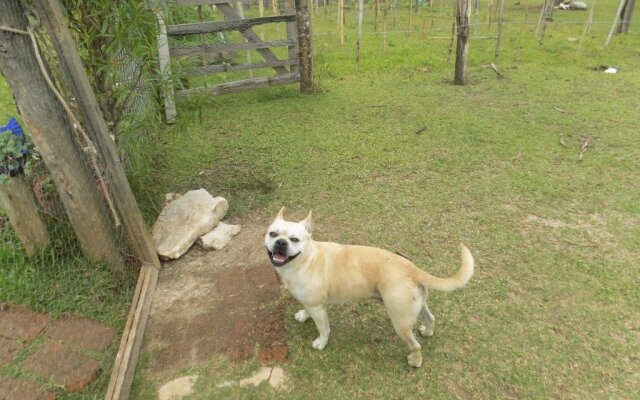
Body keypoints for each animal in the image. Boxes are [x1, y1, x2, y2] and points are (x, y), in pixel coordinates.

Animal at [262, 208, 472, 368]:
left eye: (295, 239)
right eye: (272, 233)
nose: (281, 243)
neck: (305, 258)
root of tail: (411, 267)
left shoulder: (318, 309)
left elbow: (323, 329)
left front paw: (321, 343)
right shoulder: (311, 303)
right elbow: (305, 308)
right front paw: (303, 316)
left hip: (400, 322)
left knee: (415, 345)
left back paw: (415, 362)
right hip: (417, 307)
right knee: (430, 319)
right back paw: (427, 332)